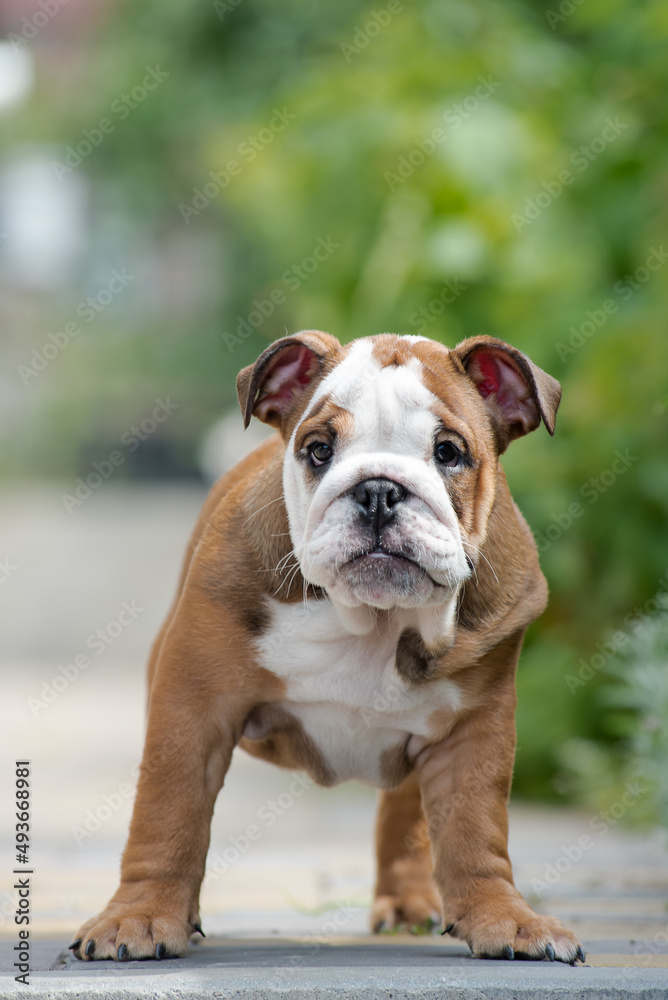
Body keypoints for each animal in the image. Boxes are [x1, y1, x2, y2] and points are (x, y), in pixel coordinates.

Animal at [72, 332, 584, 964]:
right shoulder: (192, 709)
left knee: (407, 818)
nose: (379, 489)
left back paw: (407, 903)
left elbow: (475, 830)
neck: (369, 620)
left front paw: (503, 920)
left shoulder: (475, 730)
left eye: (448, 453)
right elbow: (169, 814)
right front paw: (140, 917)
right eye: (318, 450)